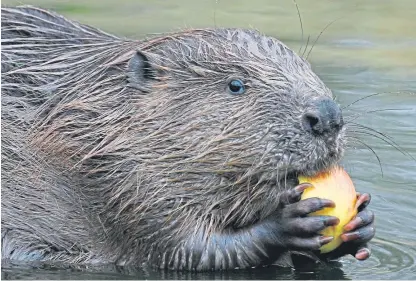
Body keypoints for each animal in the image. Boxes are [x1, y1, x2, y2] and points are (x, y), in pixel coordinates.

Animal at [0, 6, 376, 270]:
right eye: (235, 85)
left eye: (307, 69)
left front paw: (362, 222)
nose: (327, 117)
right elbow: (189, 250)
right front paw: (289, 223)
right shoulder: (125, 182)